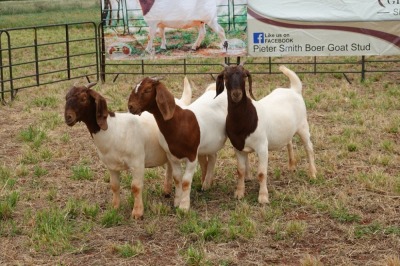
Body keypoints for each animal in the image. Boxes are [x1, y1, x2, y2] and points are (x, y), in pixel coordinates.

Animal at [63, 78, 191, 218]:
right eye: (66, 97)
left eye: (83, 98)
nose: (68, 117)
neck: (113, 130)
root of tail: (181, 102)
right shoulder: (111, 166)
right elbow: (114, 186)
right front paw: (114, 207)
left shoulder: (137, 162)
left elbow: (136, 187)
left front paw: (137, 213)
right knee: (169, 166)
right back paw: (166, 191)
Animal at [217, 64, 318, 204]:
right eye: (225, 76)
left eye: (244, 76)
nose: (236, 94)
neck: (245, 119)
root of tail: (294, 90)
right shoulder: (238, 148)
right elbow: (240, 171)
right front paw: (239, 193)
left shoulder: (262, 147)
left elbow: (261, 173)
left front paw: (263, 197)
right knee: (289, 142)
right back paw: (292, 166)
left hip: (303, 126)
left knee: (309, 148)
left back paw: (312, 174)